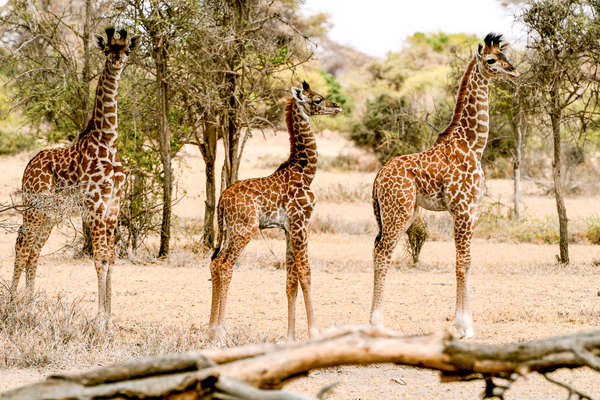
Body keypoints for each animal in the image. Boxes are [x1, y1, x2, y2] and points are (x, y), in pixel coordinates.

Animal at [11, 27, 138, 328]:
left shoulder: (114, 207)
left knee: (34, 250)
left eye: (127, 50)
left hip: (50, 214)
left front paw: (110, 317)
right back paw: (11, 304)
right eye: (108, 49)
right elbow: (100, 258)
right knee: (22, 244)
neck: (108, 141)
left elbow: (111, 259)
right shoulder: (95, 205)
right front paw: (100, 320)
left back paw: (30, 307)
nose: (117, 61)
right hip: (34, 208)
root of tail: (28, 165)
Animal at [210, 80, 342, 340]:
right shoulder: (301, 223)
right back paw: (220, 331)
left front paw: (290, 336)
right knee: (225, 265)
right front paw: (314, 331)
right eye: (318, 99)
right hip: (245, 229)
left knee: (214, 262)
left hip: (230, 230)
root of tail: (221, 201)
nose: (337, 106)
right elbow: (306, 274)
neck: (306, 172)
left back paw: (210, 329)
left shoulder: (288, 229)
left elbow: (290, 281)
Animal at [368, 32, 516, 338]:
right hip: (397, 212)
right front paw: (464, 326)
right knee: (382, 254)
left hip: (401, 213)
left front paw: (463, 323)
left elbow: (466, 262)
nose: (513, 71)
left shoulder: (473, 210)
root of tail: (378, 177)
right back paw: (377, 324)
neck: (474, 144)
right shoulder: (462, 209)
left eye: (505, 56)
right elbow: (463, 262)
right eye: (491, 60)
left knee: (376, 250)